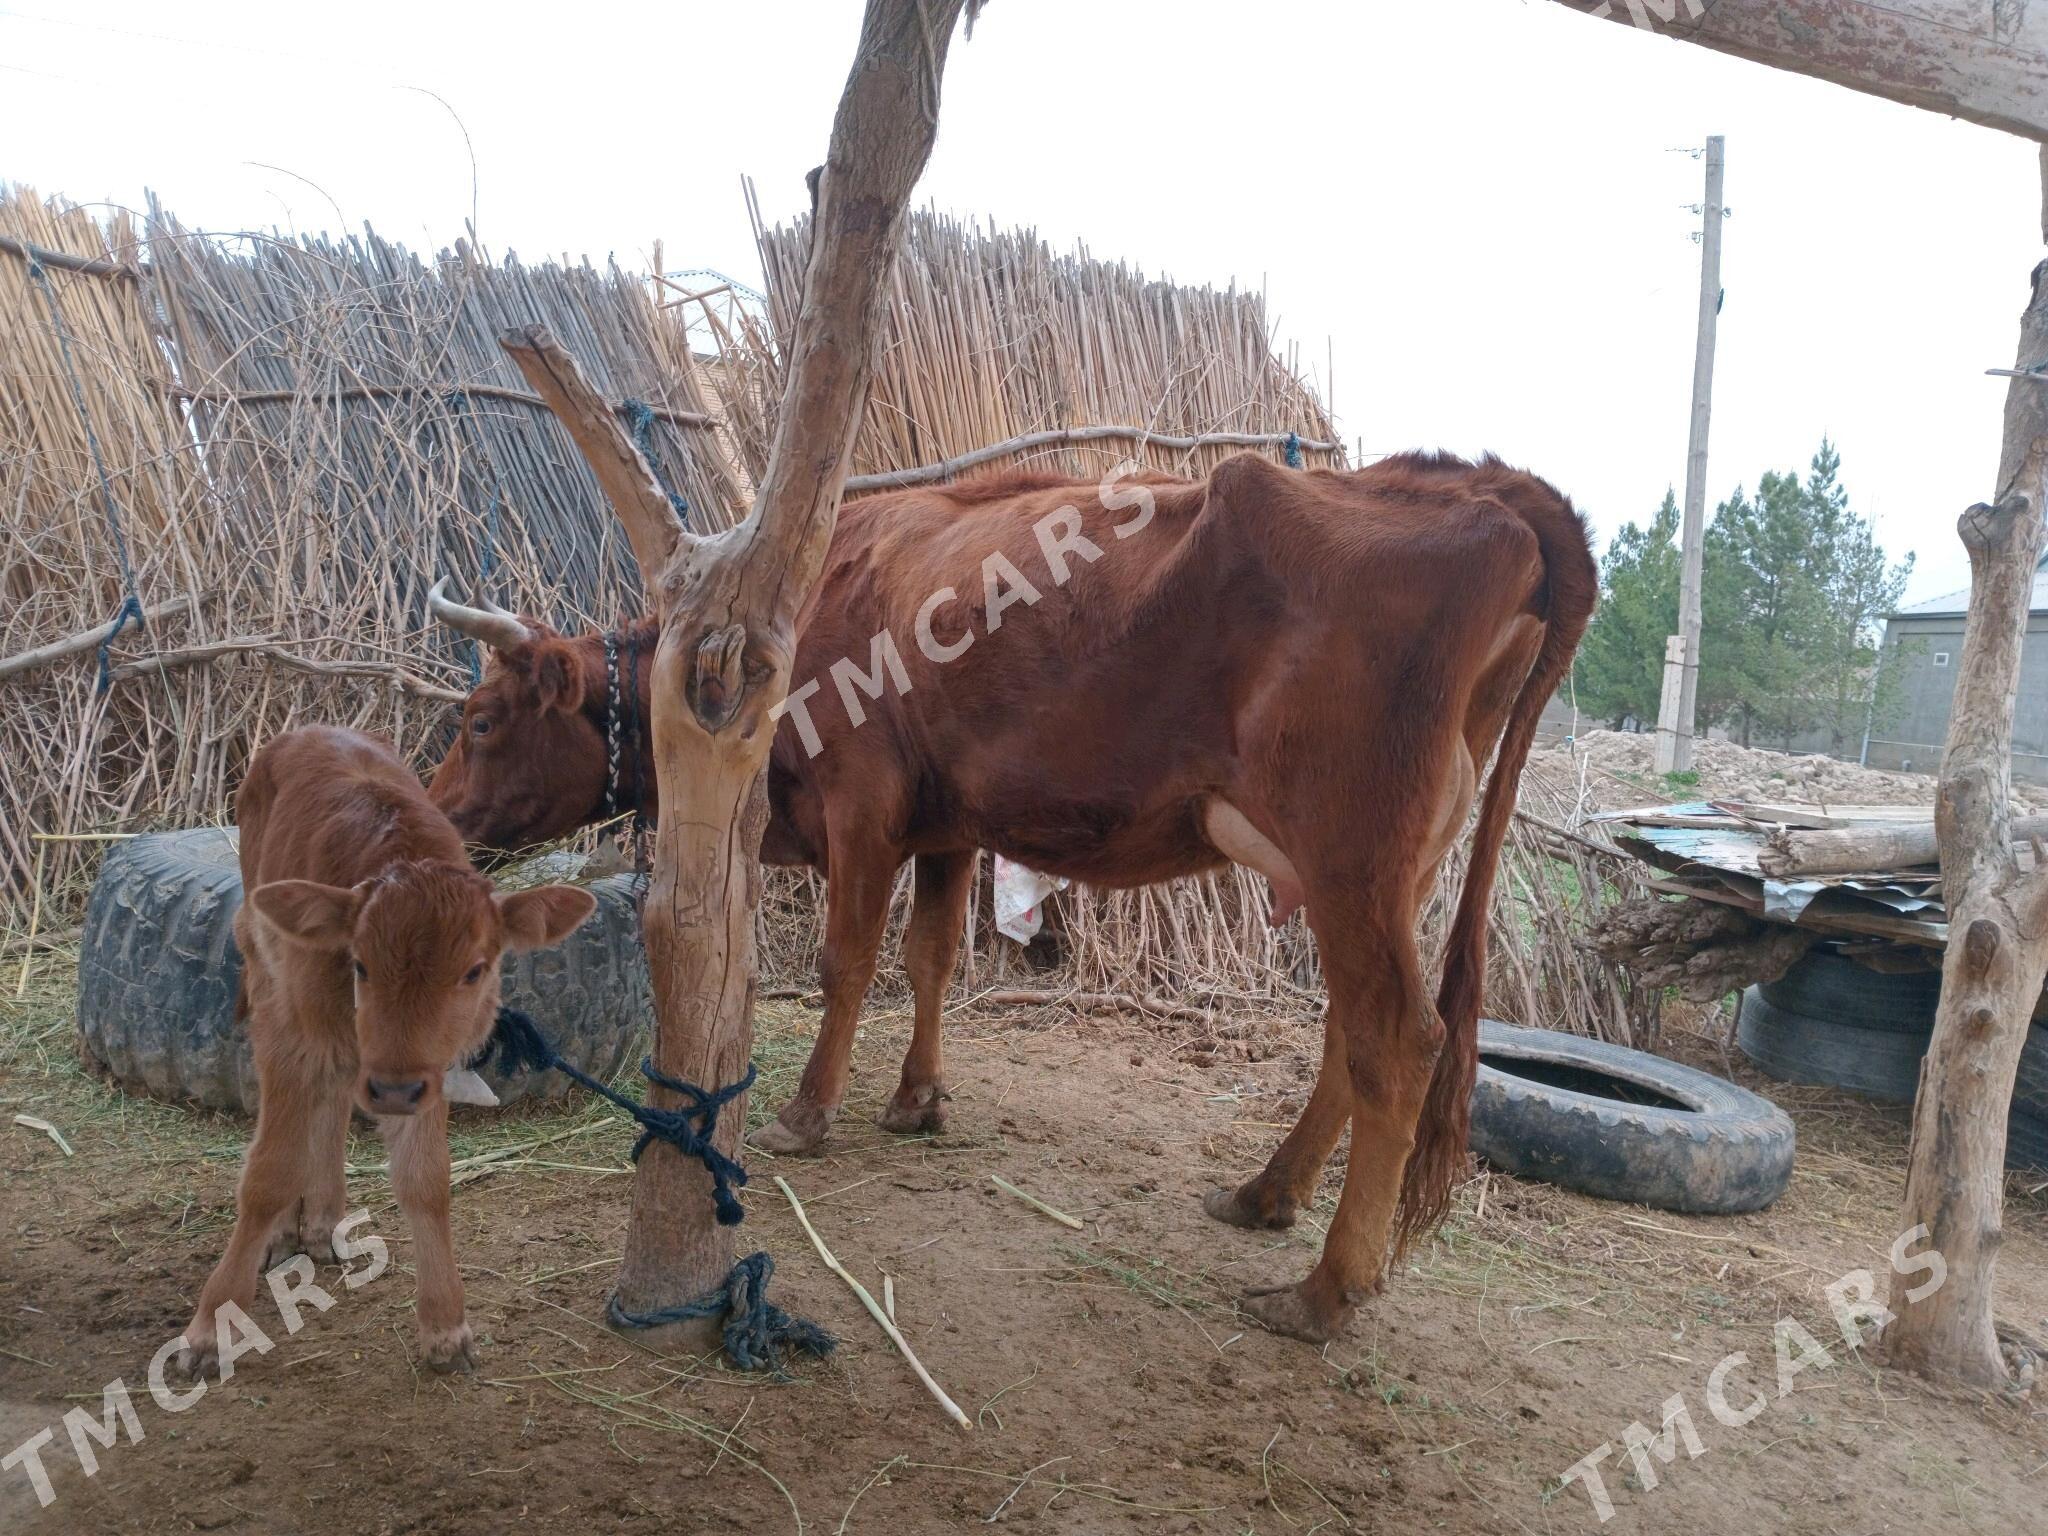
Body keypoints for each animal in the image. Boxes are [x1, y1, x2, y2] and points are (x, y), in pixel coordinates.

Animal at [177, 729, 598, 1376]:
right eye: (360, 964)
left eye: (475, 970)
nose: (393, 1091)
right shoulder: (299, 1028)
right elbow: (269, 1171)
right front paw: (210, 1329)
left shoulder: (426, 1069)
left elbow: (426, 1179)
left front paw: (446, 1327)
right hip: (264, 965)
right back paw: (286, 1233)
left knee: (332, 1100)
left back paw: (323, 1221)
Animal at [428, 450, 1597, 1343]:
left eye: (480, 721)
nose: (434, 815)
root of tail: (1476, 484)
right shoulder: (946, 824)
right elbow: (931, 958)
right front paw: (917, 1101)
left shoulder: (862, 803)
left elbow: (848, 963)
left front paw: (809, 1112)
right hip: (1371, 876)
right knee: (1350, 1034)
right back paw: (1265, 1195)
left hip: (1354, 856)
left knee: (1399, 1040)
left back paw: (1323, 1292)